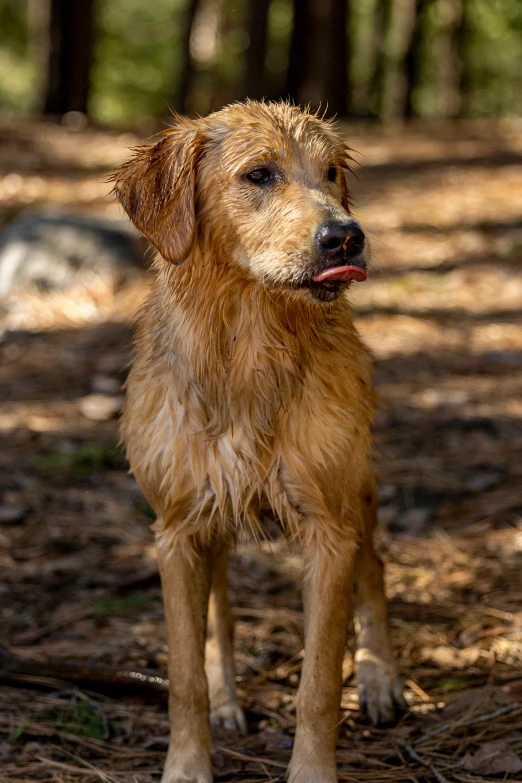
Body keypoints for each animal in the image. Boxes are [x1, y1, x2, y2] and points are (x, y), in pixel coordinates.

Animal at [112, 101, 402, 783]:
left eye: (330, 172)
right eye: (260, 174)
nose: (345, 237)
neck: (248, 346)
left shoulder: (329, 528)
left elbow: (318, 683)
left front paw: (313, 771)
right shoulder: (176, 530)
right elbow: (185, 673)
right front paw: (188, 764)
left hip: (358, 488)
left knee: (374, 569)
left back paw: (380, 679)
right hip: (210, 522)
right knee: (218, 611)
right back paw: (227, 699)